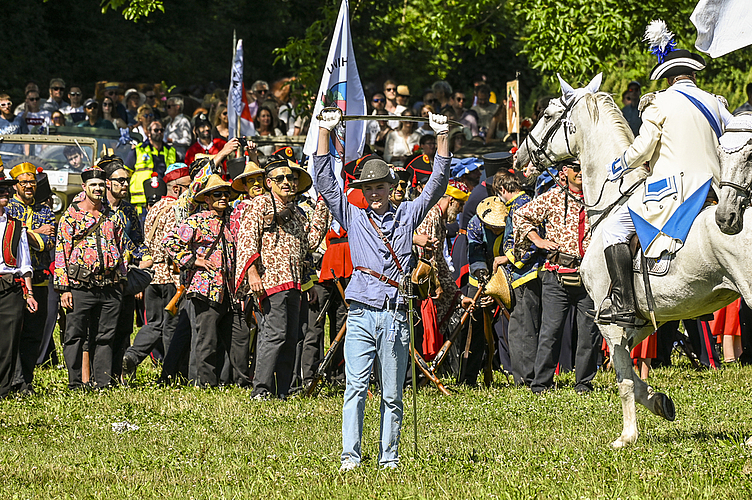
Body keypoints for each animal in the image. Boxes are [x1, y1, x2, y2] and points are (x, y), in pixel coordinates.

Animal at [516, 75, 748, 450]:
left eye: (548, 114)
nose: (520, 155)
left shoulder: (609, 320)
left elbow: (624, 379)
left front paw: (627, 436)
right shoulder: (642, 320)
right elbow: (634, 378)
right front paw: (660, 401)